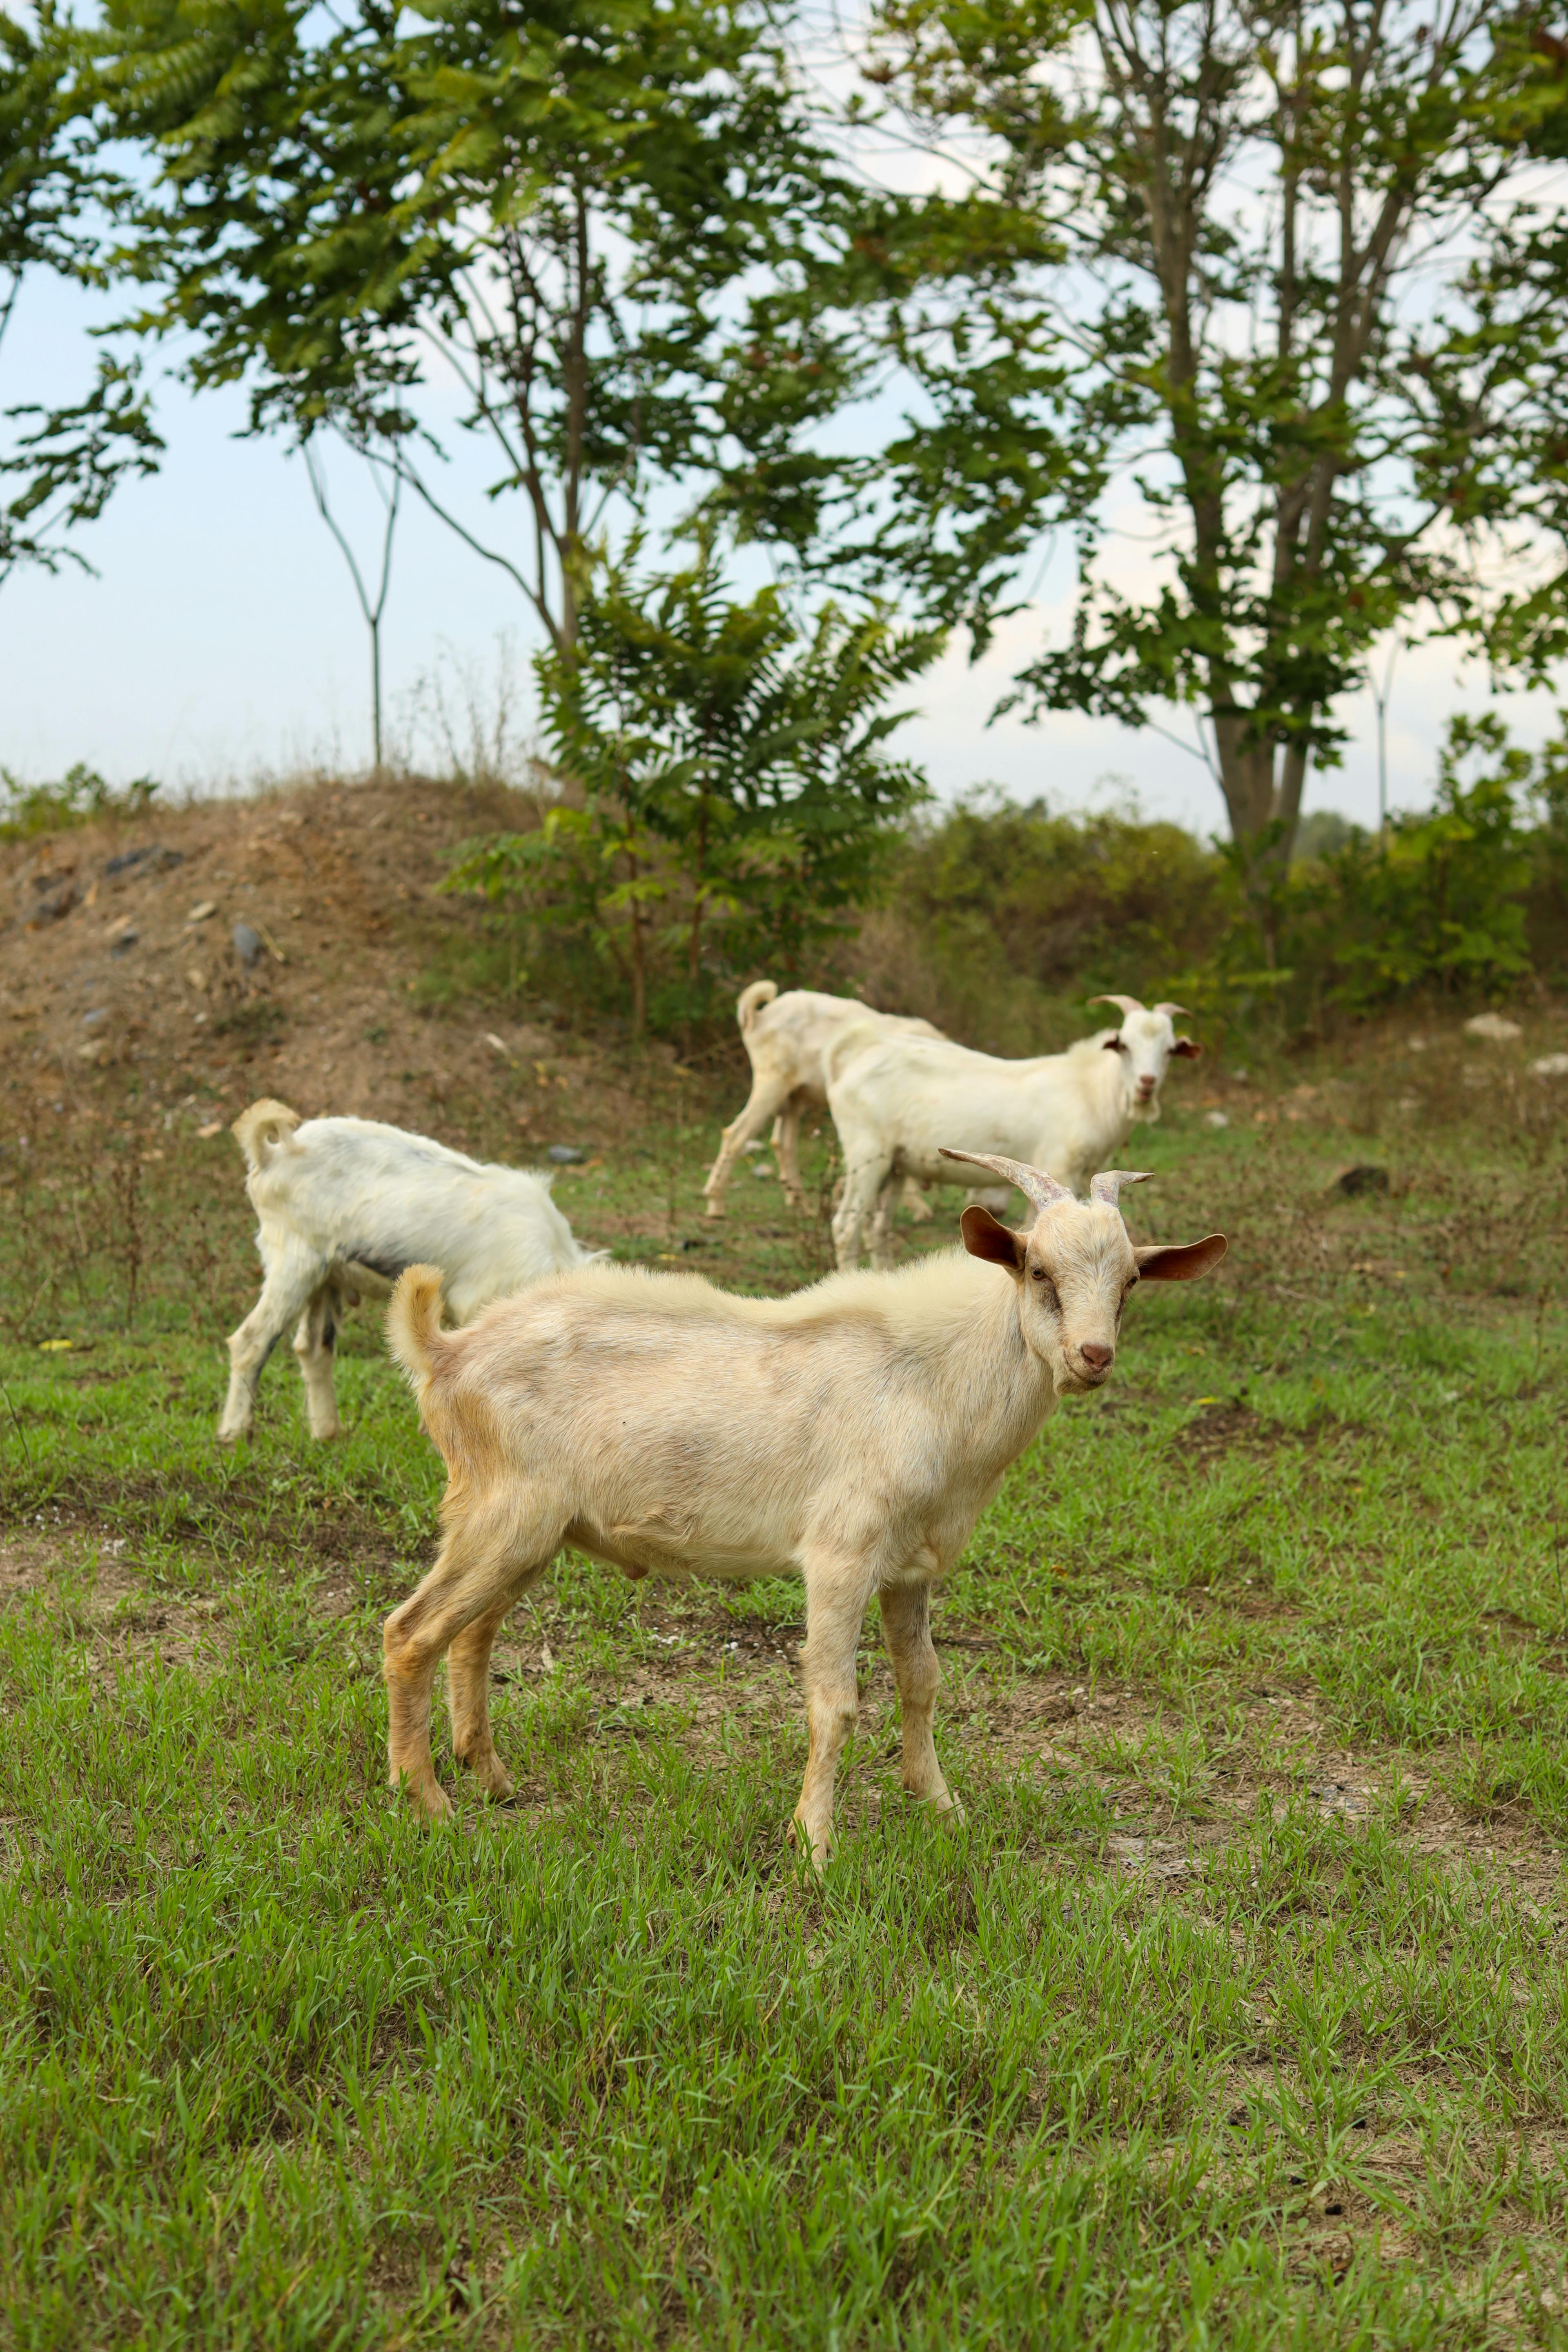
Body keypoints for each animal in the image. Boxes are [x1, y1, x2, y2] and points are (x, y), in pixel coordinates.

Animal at [218, 1100, 594, 1444]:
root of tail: (274, 1151)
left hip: (327, 1276)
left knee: (312, 1348)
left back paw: (328, 1434)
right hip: (295, 1260)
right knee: (251, 1341)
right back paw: (234, 1434)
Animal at [382, 1154, 1224, 1862]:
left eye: (1131, 1282)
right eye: (1039, 1270)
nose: (1093, 1356)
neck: (933, 1385)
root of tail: (446, 1352)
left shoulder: (911, 1566)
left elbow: (923, 1680)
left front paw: (943, 1808)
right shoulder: (841, 1553)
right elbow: (835, 1701)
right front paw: (815, 1844)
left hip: (531, 1532)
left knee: (473, 1634)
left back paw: (493, 1781)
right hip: (503, 1514)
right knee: (412, 1632)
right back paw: (427, 1801)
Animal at [702, 980, 942, 1219]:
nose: (928, 1186)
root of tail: (760, 1016)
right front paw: (920, 1209)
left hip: (794, 1095)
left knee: (784, 1143)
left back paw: (803, 1206)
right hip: (772, 1081)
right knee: (736, 1135)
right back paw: (715, 1204)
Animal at [824, 995, 1200, 1269]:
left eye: (1169, 1050)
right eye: (1125, 1046)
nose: (1146, 1084)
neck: (1088, 1090)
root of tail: (855, 1052)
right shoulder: (1058, 1168)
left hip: (897, 1165)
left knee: (877, 1229)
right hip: (867, 1155)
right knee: (845, 1229)